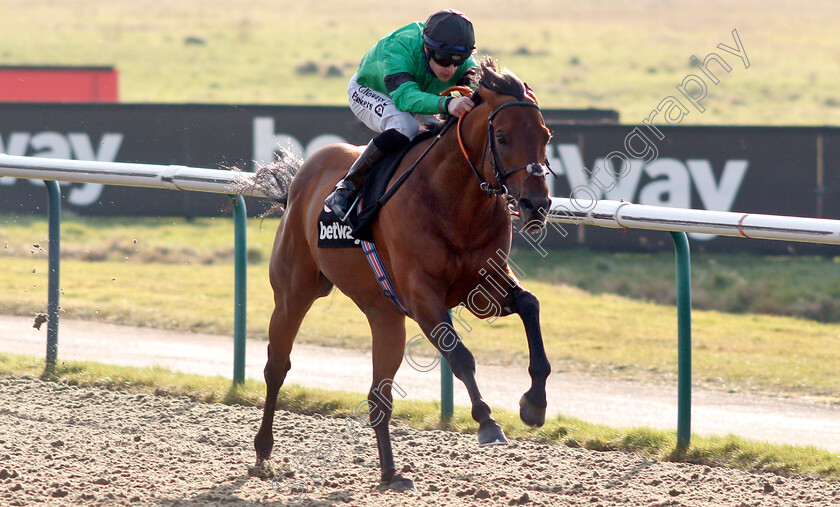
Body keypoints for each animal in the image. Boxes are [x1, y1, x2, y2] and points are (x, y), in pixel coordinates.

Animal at [249, 62, 552, 492]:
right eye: (503, 137)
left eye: (545, 136)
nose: (536, 205)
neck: (454, 201)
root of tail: (300, 179)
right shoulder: (422, 296)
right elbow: (460, 356)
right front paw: (487, 422)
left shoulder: (482, 286)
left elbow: (529, 304)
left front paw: (534, 403)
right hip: (294, 292)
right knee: (277, 366)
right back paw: (263, 450)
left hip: (384, 315)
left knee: (379, 397)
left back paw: (391, 473)